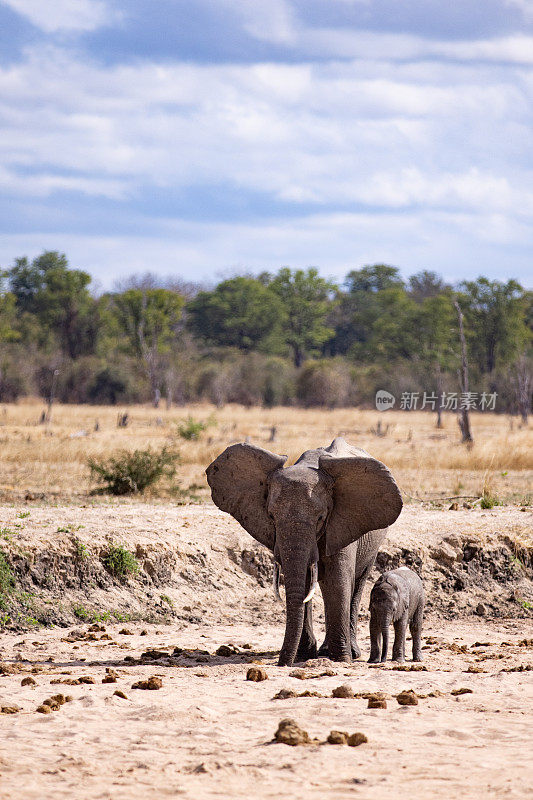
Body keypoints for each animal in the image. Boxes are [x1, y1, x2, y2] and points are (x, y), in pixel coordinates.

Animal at [206, 434, 402, 664]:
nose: (282, 664)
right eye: (271, 516)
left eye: (320, 518)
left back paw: (348, 654)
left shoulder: (341, 523)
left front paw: (341, 659)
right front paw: (303, 656)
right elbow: (305, 581)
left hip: (373, 543)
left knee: (356, 584)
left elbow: (338, 581)